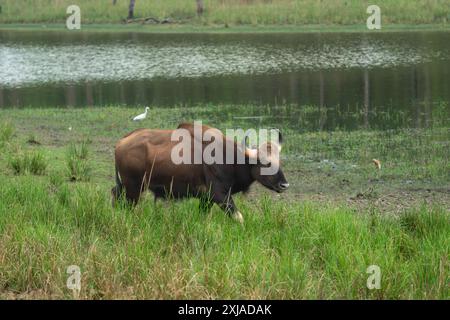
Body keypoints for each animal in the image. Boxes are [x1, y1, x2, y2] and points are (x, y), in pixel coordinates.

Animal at [112, 122, 288, 222]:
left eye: (279, 161)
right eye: (266, 162)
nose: (284, 185)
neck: (230, 158)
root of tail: (121, 142)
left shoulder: (206, 199)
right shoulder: (220, 195)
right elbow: (239, 217)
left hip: (124, 187)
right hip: (134, 189)